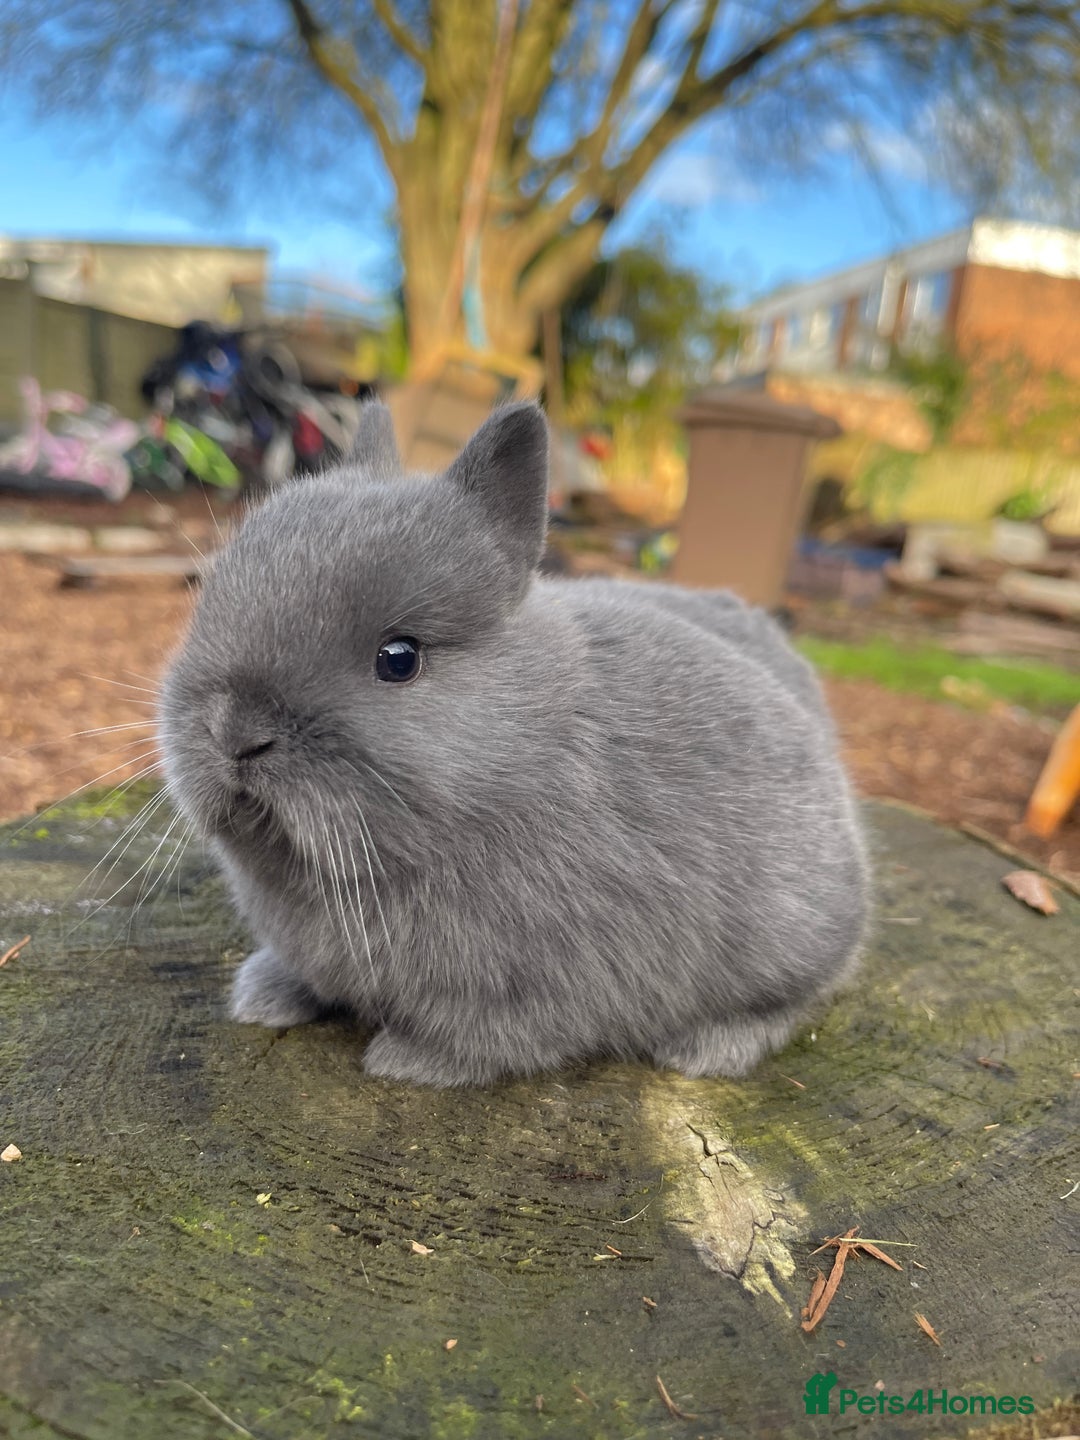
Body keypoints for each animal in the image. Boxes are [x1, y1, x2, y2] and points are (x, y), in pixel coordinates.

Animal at [159, 400, 868, 1087]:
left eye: (398, 659)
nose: (235, 734)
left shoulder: (534, 987)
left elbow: (490, 1040)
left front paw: (406, 1061)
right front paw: (262, 998)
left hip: (792, 941)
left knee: (791, 1003)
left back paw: (704, 1050)